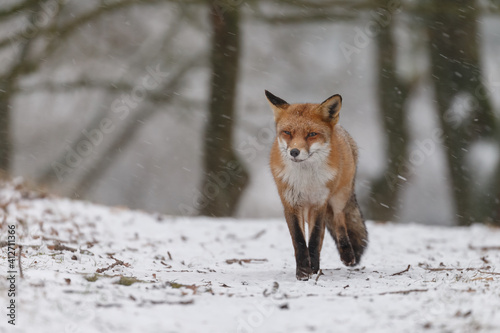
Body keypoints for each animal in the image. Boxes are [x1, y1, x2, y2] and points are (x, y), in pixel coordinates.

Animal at [266, 90, 368, 280]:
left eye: (311, 134)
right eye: (287, 132)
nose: (294, 152)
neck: (306, 181)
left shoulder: (319, 203)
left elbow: (314, 239)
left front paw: (311, 267)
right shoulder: (291, 204)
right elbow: (299, 240)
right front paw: (303, 270)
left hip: (338, 197)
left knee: (339, 221)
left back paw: (346, 254)